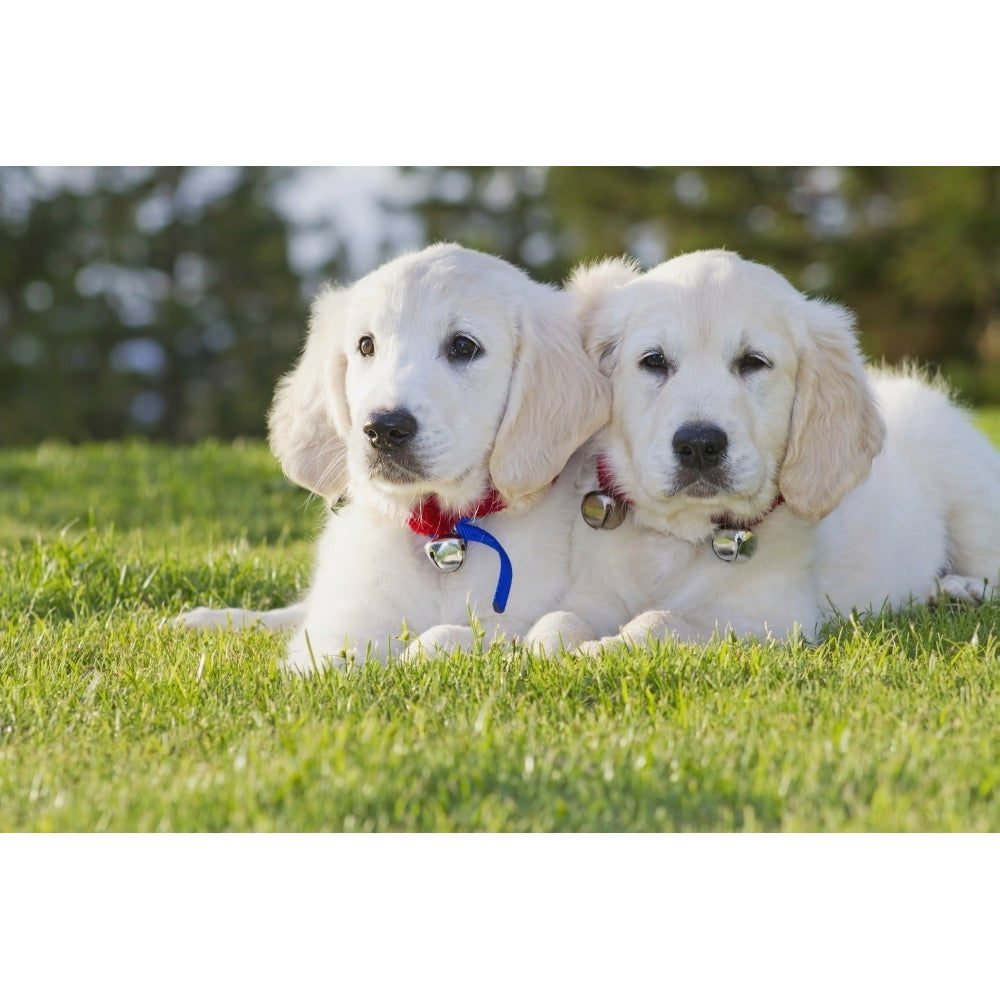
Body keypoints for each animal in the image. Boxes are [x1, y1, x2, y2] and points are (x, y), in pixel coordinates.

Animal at [184, 242, 612, 672]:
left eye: (463, 346)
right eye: (366, 345)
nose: (384, 430)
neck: (444, 536)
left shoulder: (527, 614)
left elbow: (459, 636)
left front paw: (420, 653)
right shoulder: (343, 625)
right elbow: (331, 658)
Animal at [528, 250, 1000, 652]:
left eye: (753, 362)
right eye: (654, 361)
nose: (698, 446)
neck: (679, 540)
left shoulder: (771, 618)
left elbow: (663, 622)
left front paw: (607, 647)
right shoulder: (593, 593)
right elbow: (554, 622)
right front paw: (553, 649)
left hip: (971, 499)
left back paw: (962, 589)